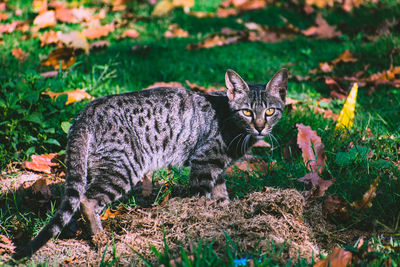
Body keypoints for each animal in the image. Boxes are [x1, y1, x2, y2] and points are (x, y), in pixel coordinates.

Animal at [12, 68, 288, 260]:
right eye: (247, 112)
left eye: (270, 111)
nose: (260, 127)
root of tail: (86, 112)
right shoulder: (204, 162)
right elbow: (202, 198)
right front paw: (204, 223)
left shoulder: (217, 168)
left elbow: (222, 197)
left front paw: (228, 219)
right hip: (124, 166)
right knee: (87, 201)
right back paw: (100, 239)